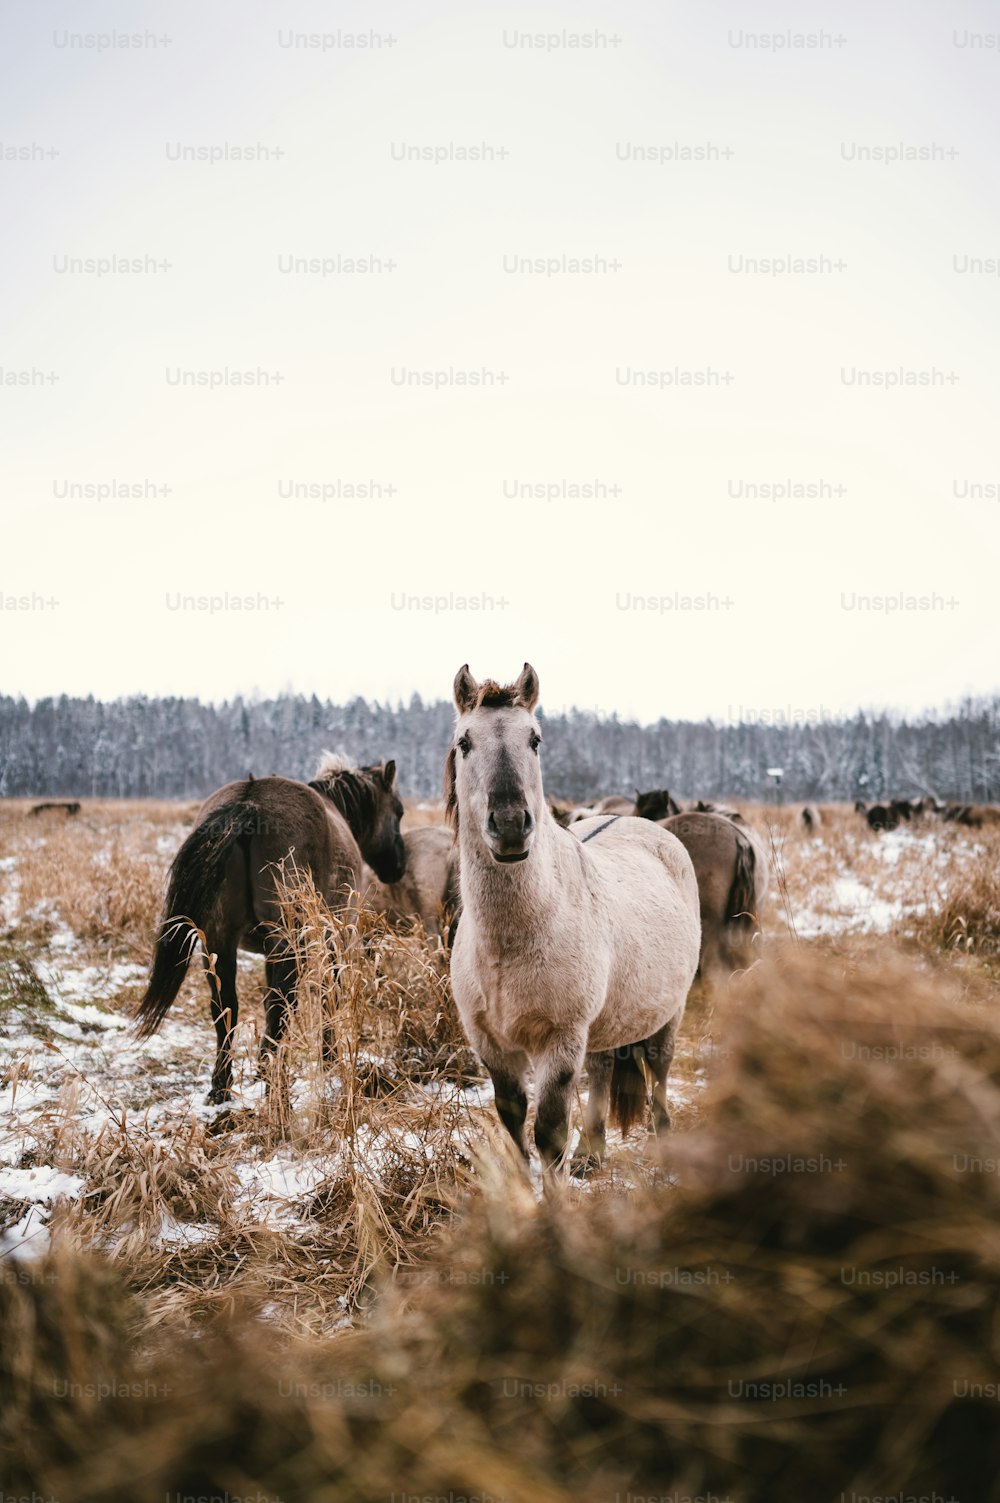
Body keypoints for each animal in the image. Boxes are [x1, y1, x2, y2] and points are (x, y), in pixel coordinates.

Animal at [134, 757, 403, 1100]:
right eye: (398, 811)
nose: (398, 867)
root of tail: (251, 802)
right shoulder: (335, 936)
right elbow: (328, 995)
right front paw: (329, 1058)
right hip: (286, 939)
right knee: (281, 1004)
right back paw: (272, 1077)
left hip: (219, 940)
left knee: (226, 1005)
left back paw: (222, 1084)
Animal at [448, 667, 697, 1172]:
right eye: (465, 742)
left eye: (535, 739)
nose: (509, 824)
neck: (511, 939)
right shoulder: (492, 1048)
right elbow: (514, 1130)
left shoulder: (560, 1042)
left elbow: (549, 1135)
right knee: (601, 1067)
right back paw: (592, 1148)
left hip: (669, 1014)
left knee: (660, 1071)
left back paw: (663, 1143)